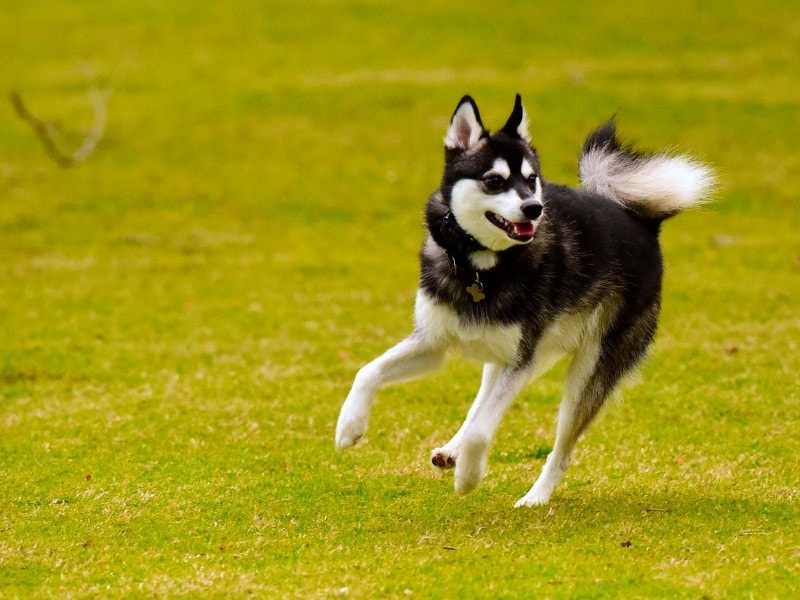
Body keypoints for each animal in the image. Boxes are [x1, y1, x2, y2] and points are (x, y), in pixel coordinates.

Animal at [332, 94, 712, 506]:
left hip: (585, 372)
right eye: (494, 181)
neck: (480, 268)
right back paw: (452, 450)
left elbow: (483, 430)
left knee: (562, 449)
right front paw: (349, 426)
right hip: (522, 354)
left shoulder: (519, 361)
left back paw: (535, 497)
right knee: (480, 403)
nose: (533, 208)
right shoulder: (435, 344)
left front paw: (469, 478)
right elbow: (367, 371)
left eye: (531, 180)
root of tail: (643, 223)